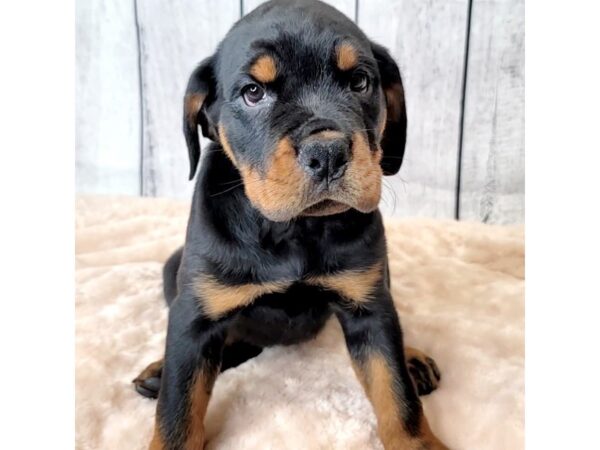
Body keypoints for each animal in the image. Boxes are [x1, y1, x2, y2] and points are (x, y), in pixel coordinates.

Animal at [134, 0, 448, 450]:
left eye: (359, 82)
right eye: (253, 92)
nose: (328, 152)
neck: (294, 229)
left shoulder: (369, 305)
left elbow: (396, 391)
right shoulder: (194, 313)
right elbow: (178, 409)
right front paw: (170, 392)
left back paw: (414, 359)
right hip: (173, 270)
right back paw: (160, 372)